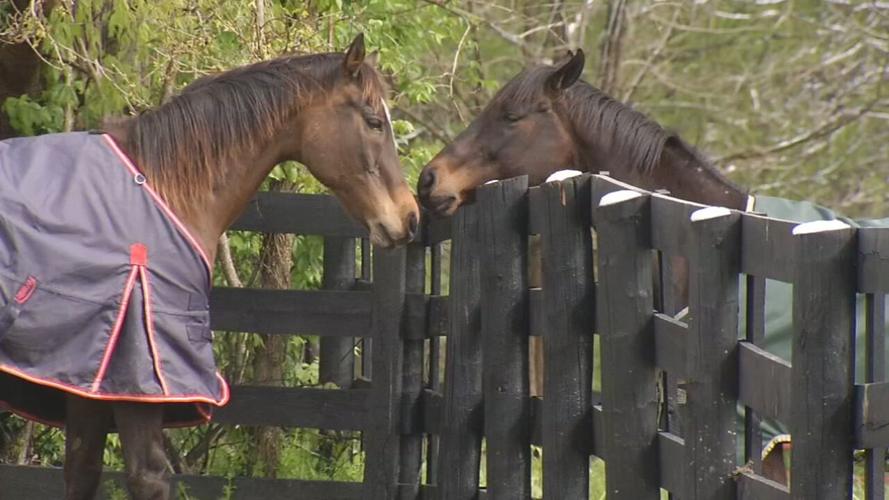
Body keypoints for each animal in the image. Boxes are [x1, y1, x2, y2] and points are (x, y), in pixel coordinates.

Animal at [0, 34, 419, 499]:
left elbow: (82, 472)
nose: (409, 218)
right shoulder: (139, 383)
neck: (163, 183)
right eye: (374, 122)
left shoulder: (89, 380)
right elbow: (149, 477)